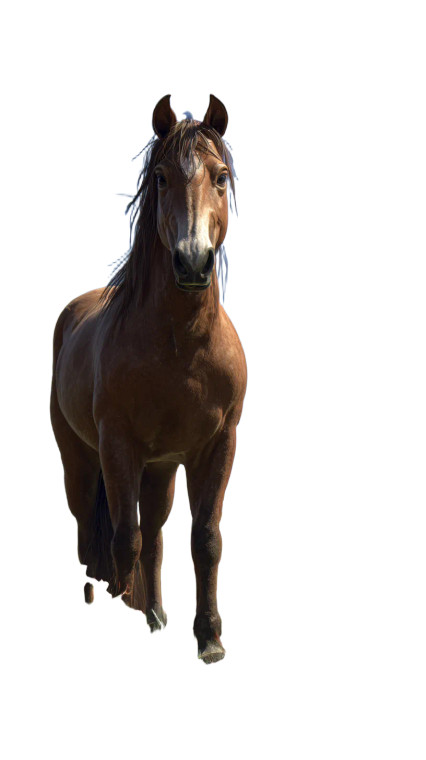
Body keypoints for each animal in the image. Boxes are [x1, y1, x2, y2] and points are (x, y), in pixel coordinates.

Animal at [50, 94, 247, 664]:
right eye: (160, 178)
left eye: (220, 176)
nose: (192, 261)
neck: (180, 349)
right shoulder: (119, 447)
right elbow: (124, 539)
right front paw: (124, 606)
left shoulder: (217, 446)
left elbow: (204, 539)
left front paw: (209, 637)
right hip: (81, 459)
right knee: (93, 530)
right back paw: (115, 600)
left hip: (160, 470)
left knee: (156, 535)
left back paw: (156, 613)